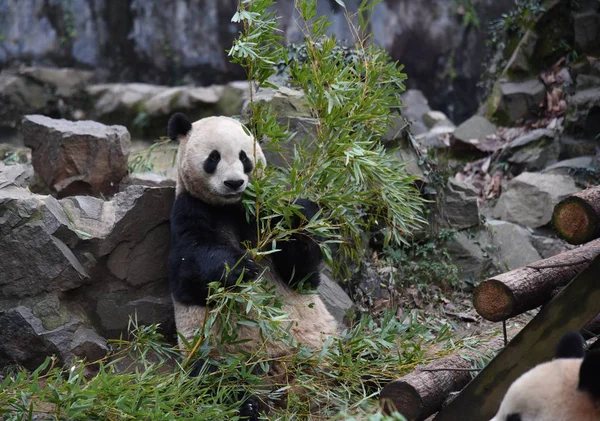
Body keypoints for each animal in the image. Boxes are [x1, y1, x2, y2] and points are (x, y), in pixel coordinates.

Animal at [166, 114, 340, 416]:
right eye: (213, 157)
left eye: (244, 157)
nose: (234, 183)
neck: (232, 207)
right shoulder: (188, 211)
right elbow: (189, 271)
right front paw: (242, 268)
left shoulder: (265, 212)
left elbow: (302, 275)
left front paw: (302, 216)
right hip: (217, 354)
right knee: (222, 384)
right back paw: (250, 404)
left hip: (322, 346)